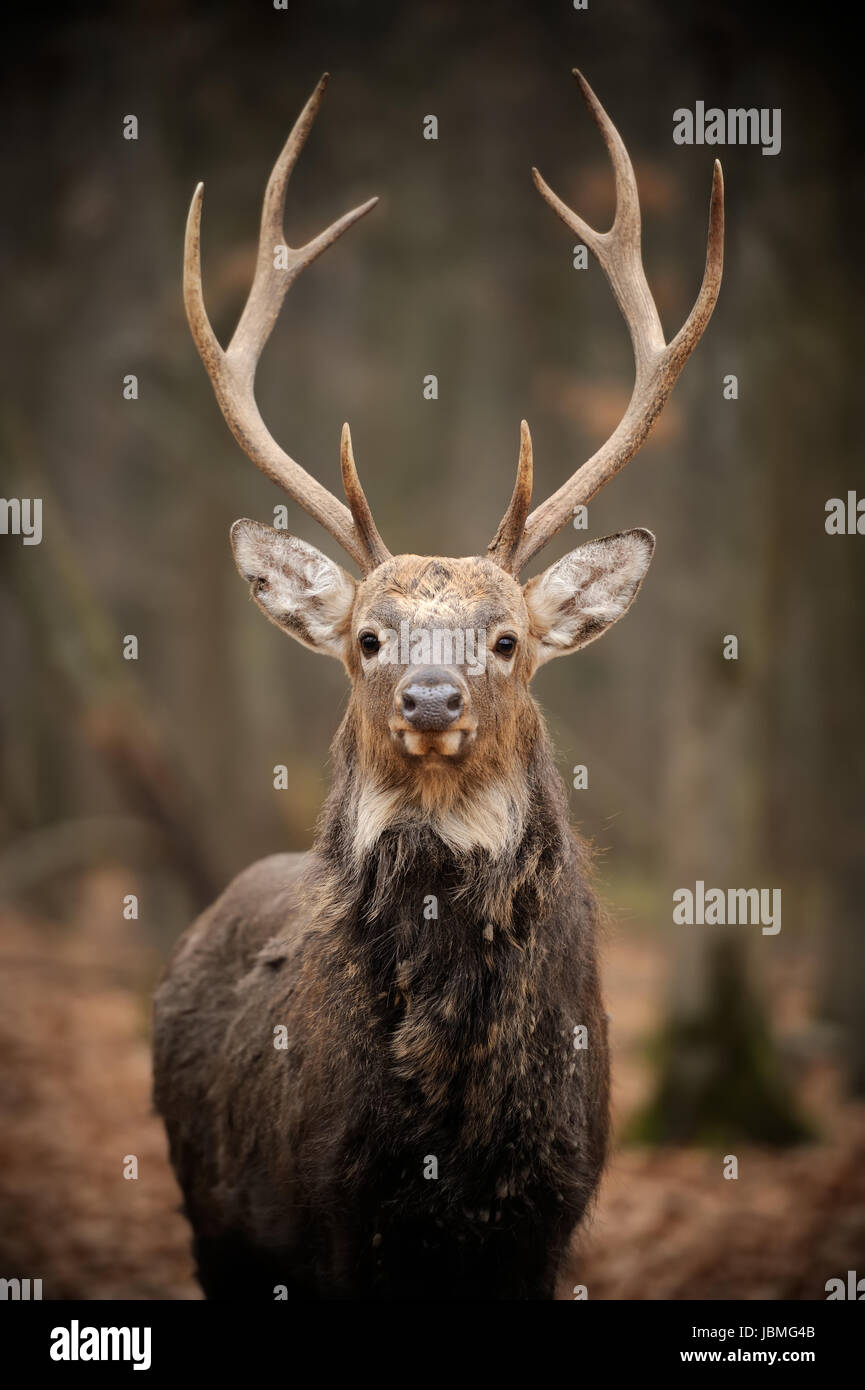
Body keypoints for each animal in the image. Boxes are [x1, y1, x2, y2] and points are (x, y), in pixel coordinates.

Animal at [154, 70, 723, 1295]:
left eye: (506, 640)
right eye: (369, 637)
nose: (429, 698)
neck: (451, 1133)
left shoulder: (550, 1214)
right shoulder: (328, 1214)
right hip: (211, 1214)